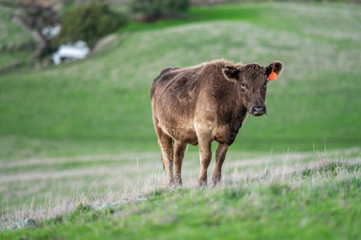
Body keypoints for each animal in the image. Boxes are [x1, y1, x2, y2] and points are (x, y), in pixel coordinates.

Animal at [149, 59, 282, 187]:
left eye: (265, 83)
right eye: (243, 84)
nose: (258, 109)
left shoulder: (230, 134)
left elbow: (220, 158)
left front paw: (216, 182)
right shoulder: (203, 130)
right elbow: (206, 157)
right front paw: (202, 183)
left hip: (180, 135)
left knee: (178, 156)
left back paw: (179, 184)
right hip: (160, 129)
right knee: (168, 156)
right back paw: (171, 184)